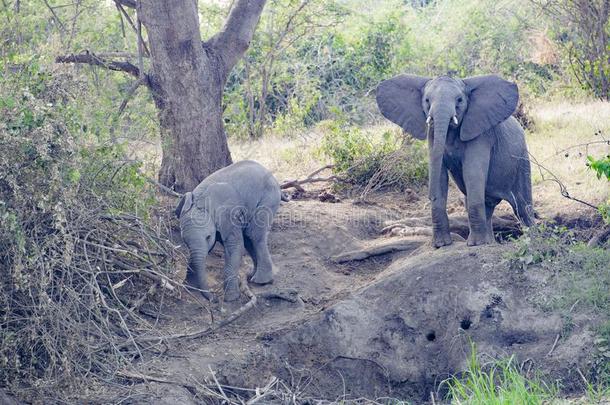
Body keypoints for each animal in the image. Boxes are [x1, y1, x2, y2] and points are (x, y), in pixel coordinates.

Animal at [175, 159, 282, 302]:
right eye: (184, 241)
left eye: (208, 237)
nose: (214, 299)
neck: (202, 200)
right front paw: (189, 288)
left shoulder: (229, 215)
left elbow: (234, 246)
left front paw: (231, 298)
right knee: (249, 238)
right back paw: (252, 276)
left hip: (268, 198)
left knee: (254, 235)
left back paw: (262, 281)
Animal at [376, 75, 532, 246]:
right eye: (427, 100)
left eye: (459, 100)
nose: (430, 197)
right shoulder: (432, 134)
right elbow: (438, 173)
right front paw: (441, 245)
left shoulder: (480, 134)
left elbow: (472, 173)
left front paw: (475, 245)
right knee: (487, 206)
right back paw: (490, 243)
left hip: (522, 160)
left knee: (523, 208)